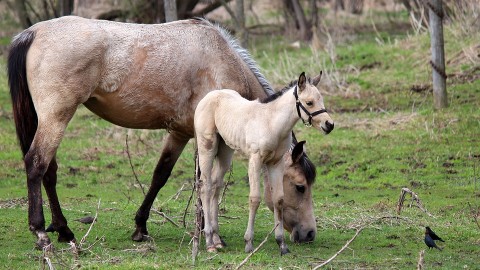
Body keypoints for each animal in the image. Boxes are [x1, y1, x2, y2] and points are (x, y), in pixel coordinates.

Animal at [7, 15, 318, 249]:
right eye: (300, 186)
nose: (309, 234)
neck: (221, 62)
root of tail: (33, 32)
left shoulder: (179, 134)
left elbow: (161, 175)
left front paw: (141, 227)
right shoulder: (206, 138)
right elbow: (204, 180)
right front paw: (205, 231)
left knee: (49, 171)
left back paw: (63, 230)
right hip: (57, 117)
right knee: (36, 164)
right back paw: (41, 232)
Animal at [194, 71, 334, 255]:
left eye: (321, 100)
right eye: (309, 102)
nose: (329, 125)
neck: (271, 123)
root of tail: (210, 95)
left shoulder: (276, 163)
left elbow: (279, 199)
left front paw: (282, 244)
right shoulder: (255, 160)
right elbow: (254, 199)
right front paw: (248, 243)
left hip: (225, 151)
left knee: (216, 186)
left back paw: (217, 240)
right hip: (207, 147)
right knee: (206, 186)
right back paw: (209, 241)